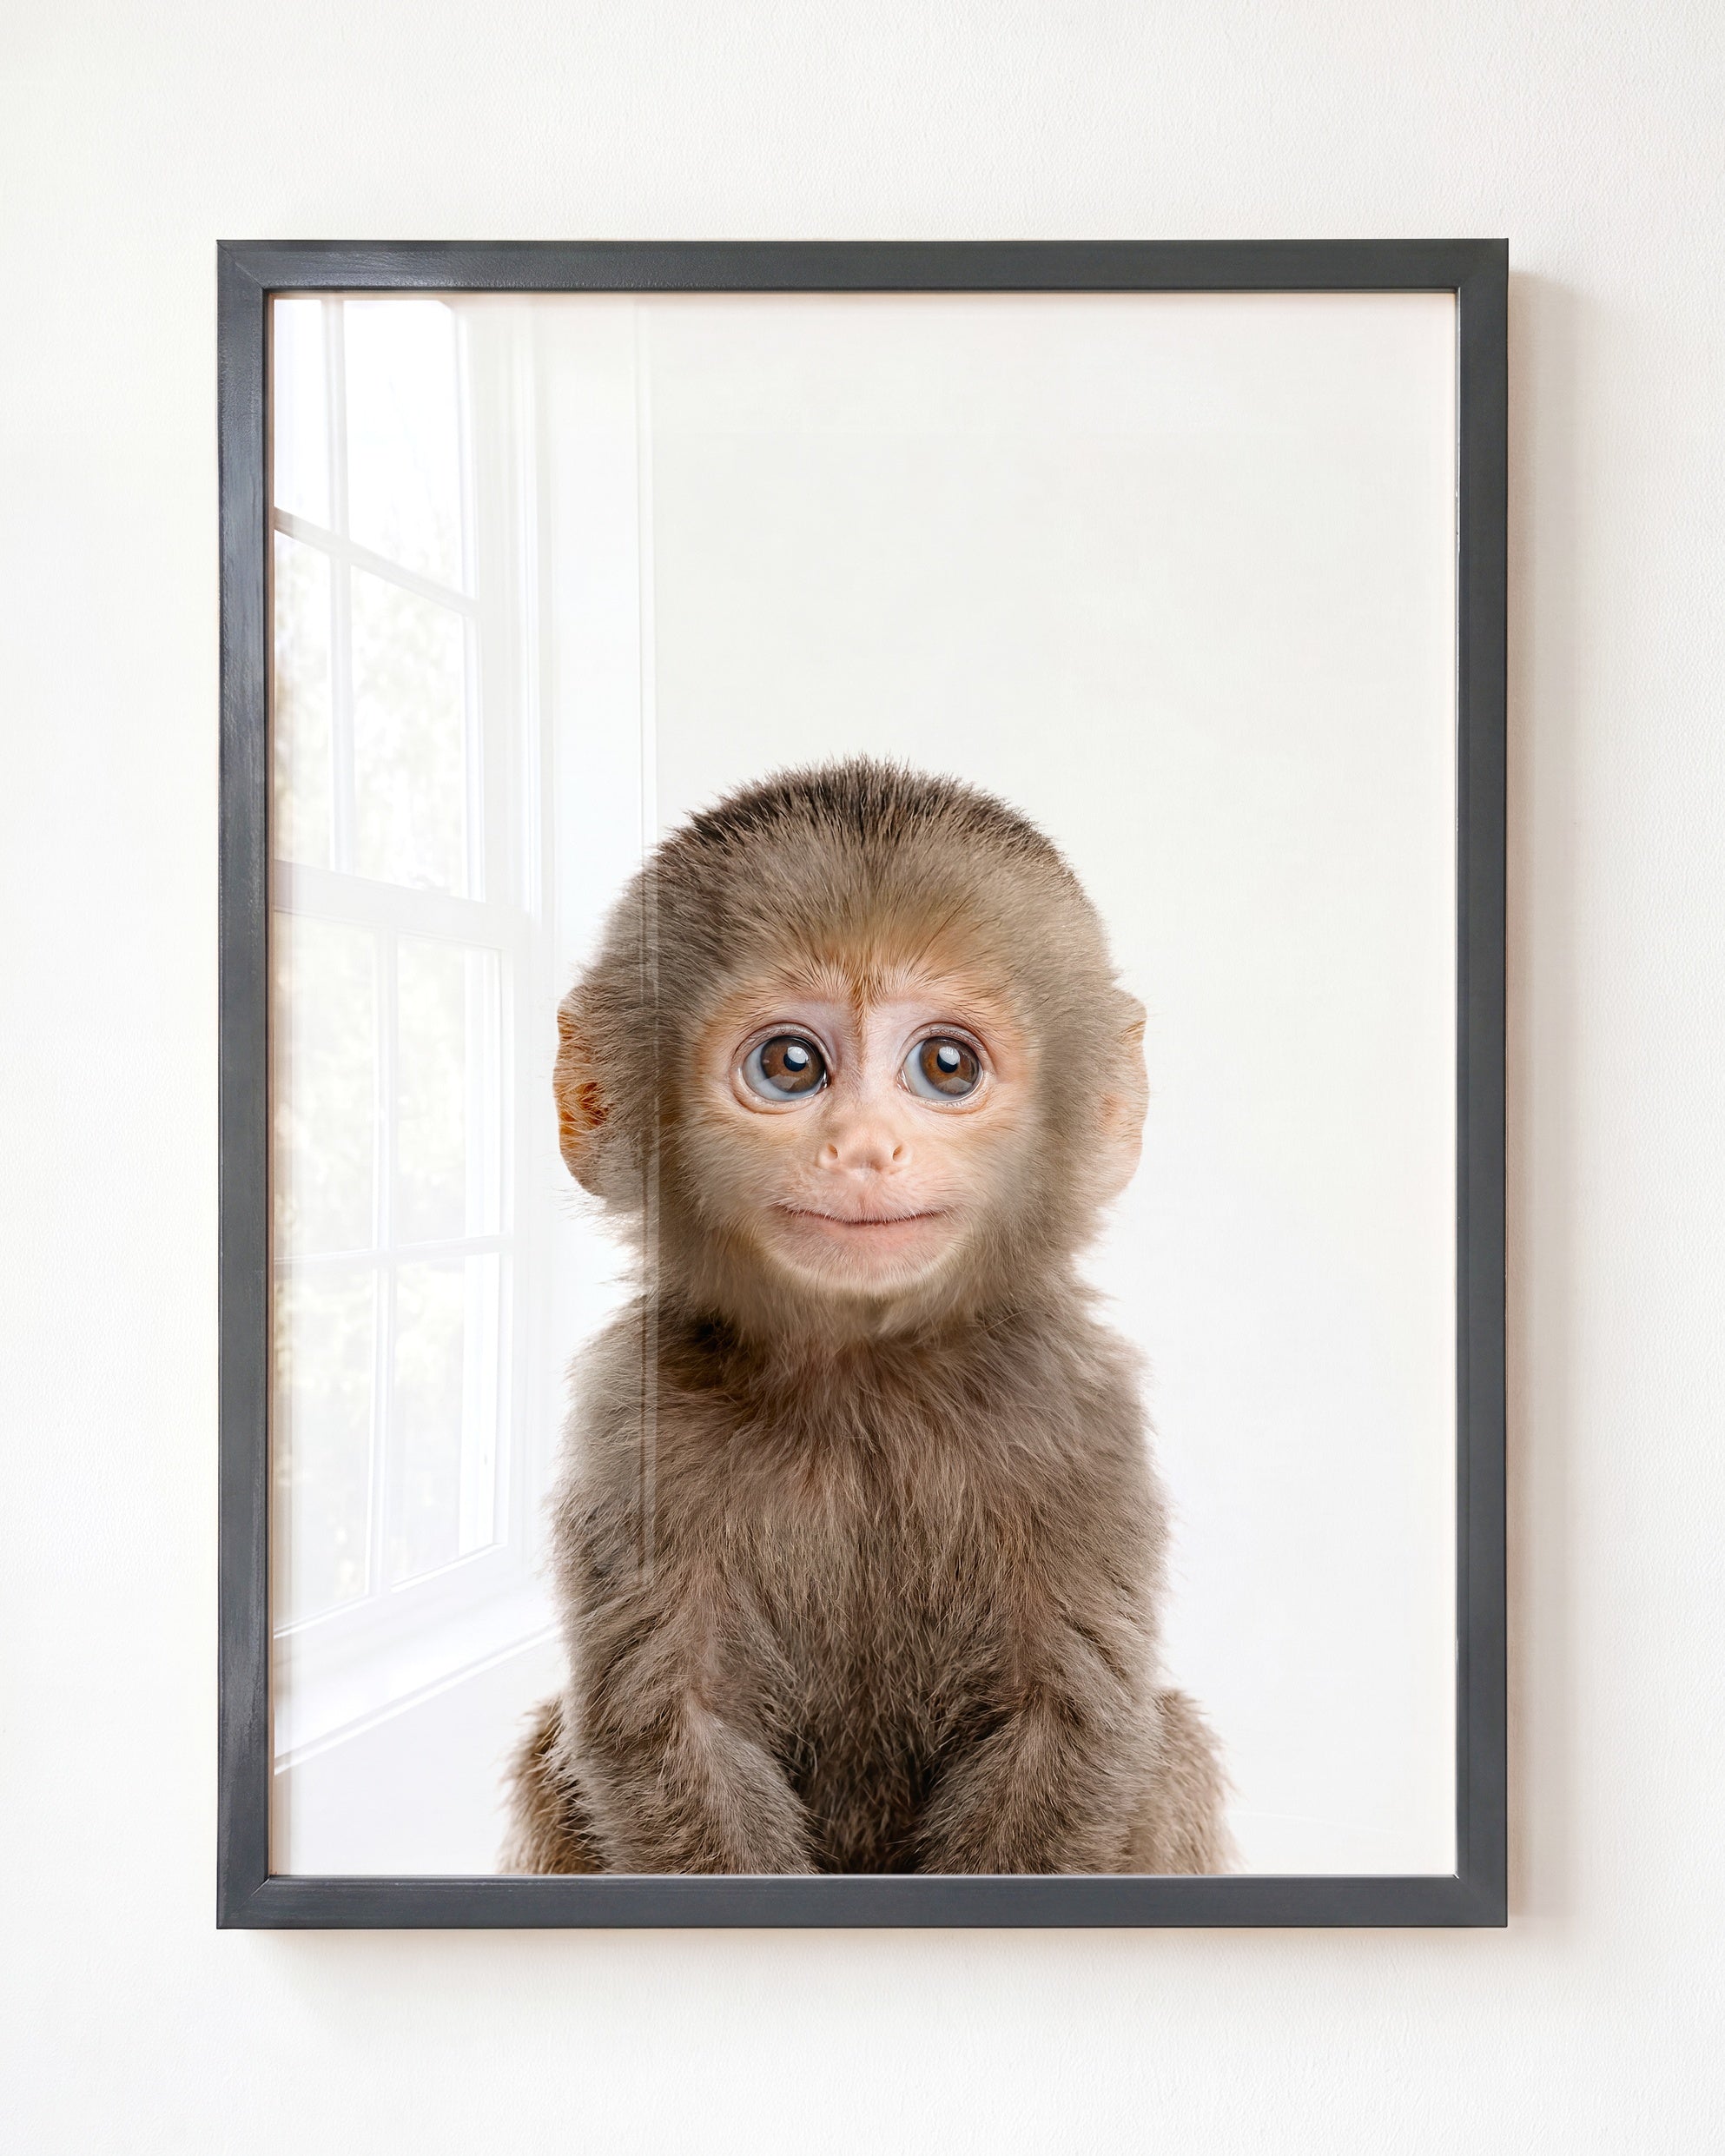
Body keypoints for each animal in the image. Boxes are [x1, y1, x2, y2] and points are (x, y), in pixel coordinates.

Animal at [501, 759, 1229, 1875]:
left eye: (945, 1066)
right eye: (791, 1065)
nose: (863, 1148)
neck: (863, 1379)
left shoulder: (1079, 1412)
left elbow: (1065, 1724)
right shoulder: (635, 1417)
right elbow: (672, 1727)